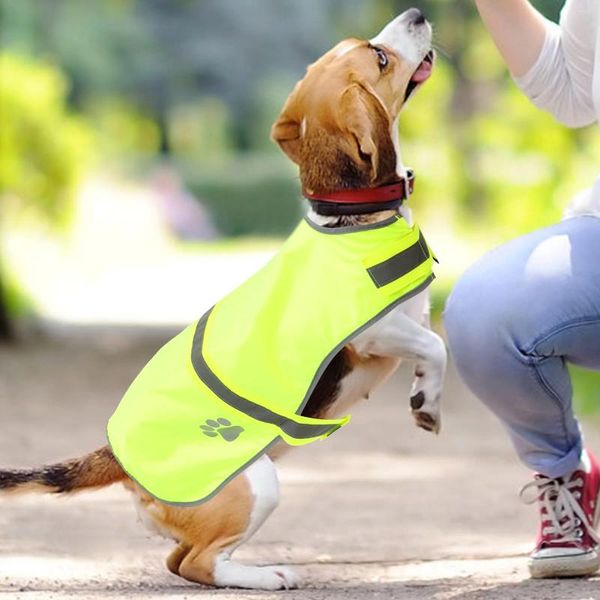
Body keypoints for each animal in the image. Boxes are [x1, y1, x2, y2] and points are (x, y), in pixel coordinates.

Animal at [0, 8, 440, 592]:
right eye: (381, 58)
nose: (416, 14)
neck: (349, 212)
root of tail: (116, 457)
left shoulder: (411, 323)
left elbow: (432, 345)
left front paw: (423, 396)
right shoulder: (376, 332)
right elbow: (437, 346)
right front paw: (430, 404)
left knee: (178, 561)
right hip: (259, 484)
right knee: (200, 563)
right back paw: (269, 575)